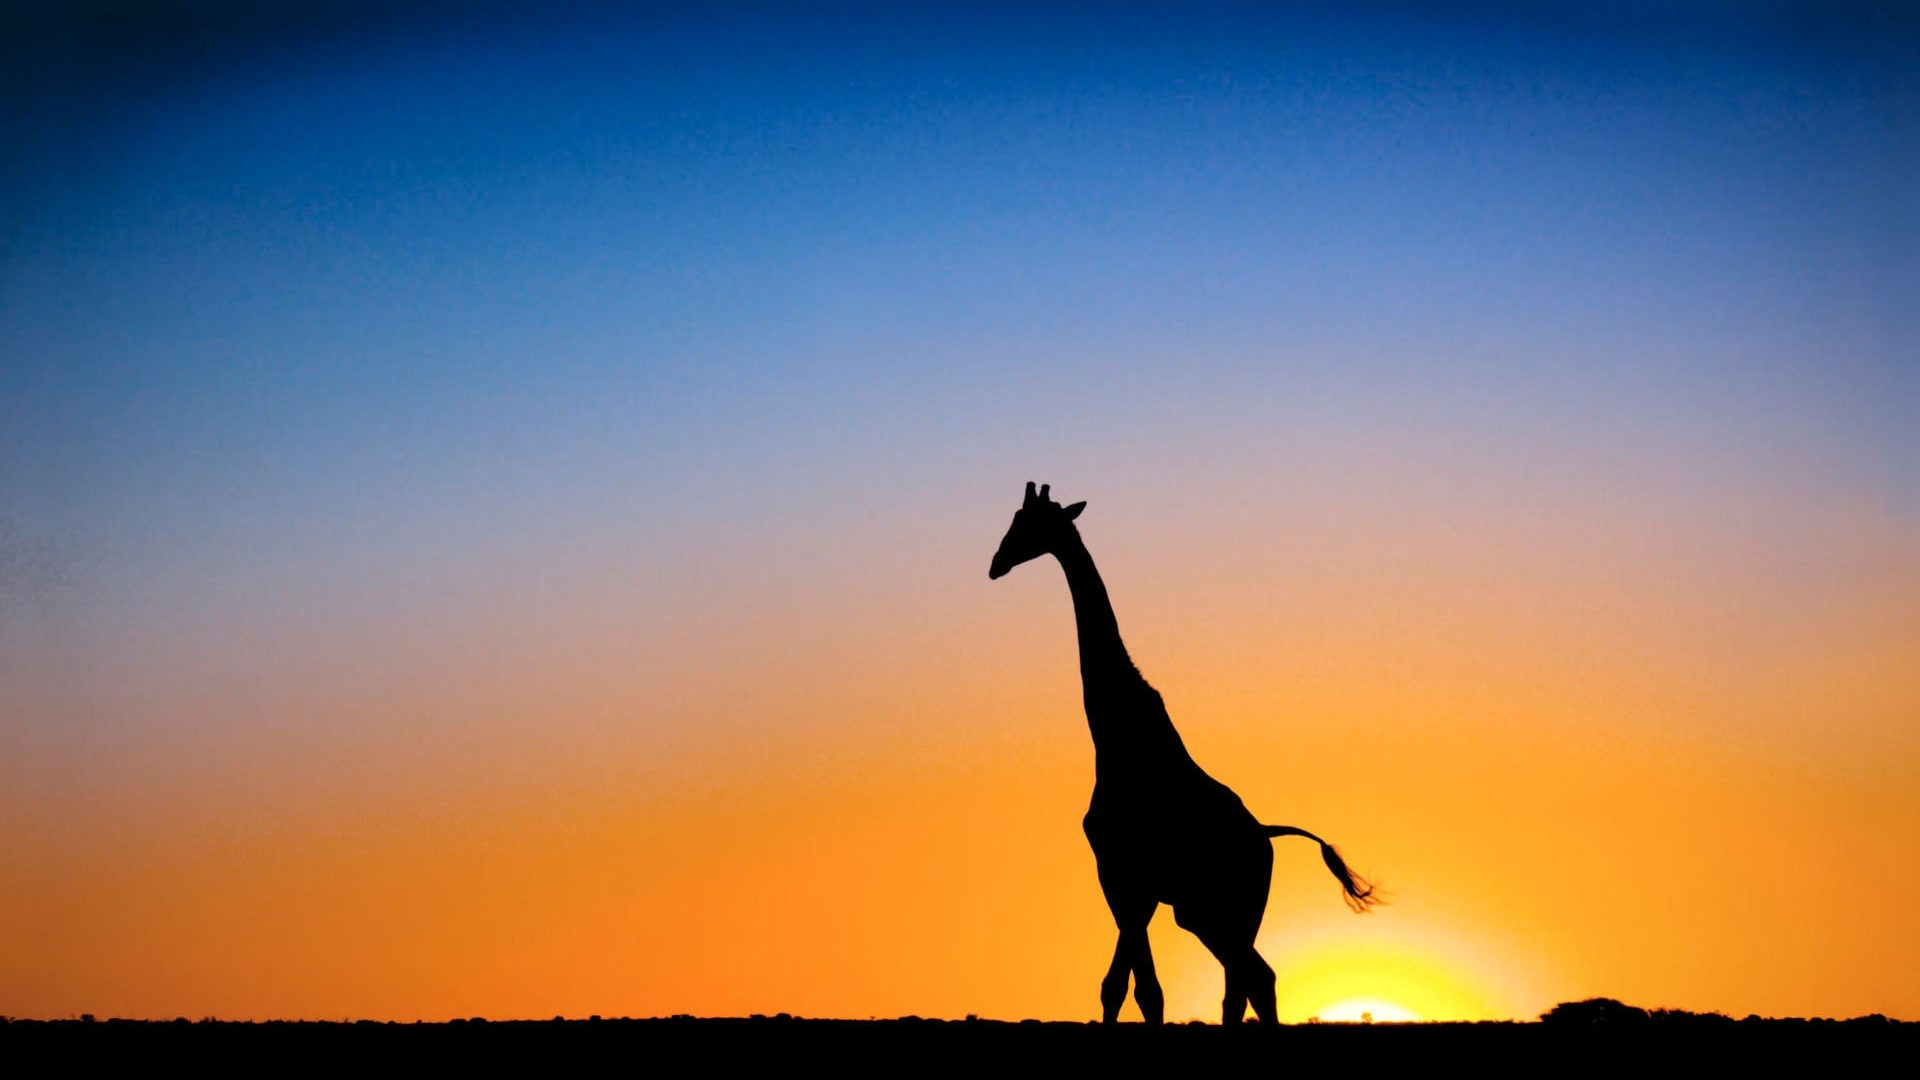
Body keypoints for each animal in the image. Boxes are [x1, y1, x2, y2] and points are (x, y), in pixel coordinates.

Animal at [989, 481, 1377, 1025]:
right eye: (1014, 519)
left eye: (1030, 523)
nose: (996, 562)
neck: (1117, 736)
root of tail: (1265, 835)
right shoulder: (1134, 883)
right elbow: (1126, 986)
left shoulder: (1123, 873)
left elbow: (1136, 988)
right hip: (1212, 912)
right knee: (1249, 980)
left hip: (1218, 908)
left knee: (1253, 977)